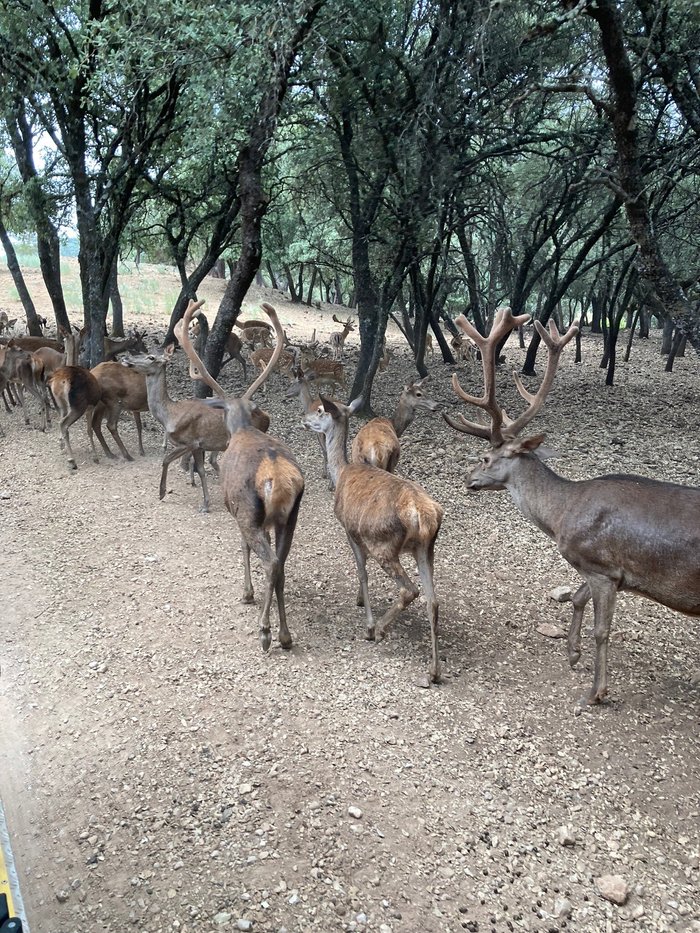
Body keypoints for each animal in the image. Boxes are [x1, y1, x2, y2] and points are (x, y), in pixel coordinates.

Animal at [175, 302, 304, 652]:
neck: (242, 427)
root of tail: (276, 474)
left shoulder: (234, 508)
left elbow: (243, 548)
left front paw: (246, 593)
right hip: (290, 516)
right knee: (280, 562)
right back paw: (286, 634)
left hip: (248, 510)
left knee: (270, 561)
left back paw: (266, 631)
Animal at [302, 396, 442, 684]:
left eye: (320, 410)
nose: (303, 418)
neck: (342, 472)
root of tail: (424, 516)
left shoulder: (350, 530)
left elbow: (362, 571)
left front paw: (366, 622)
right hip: (426, 549)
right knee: (433, 601)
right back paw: (434, 671)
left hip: (384, 545)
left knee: (410, 590)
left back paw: (378, 629)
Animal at [442, 306, 700, 708]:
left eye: (485, 457)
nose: (468, 479)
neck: (562, 515)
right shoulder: (613, 575)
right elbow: (576, 598)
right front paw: (572, 653)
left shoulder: (602, 566)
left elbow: (602, 629)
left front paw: (596, 692)